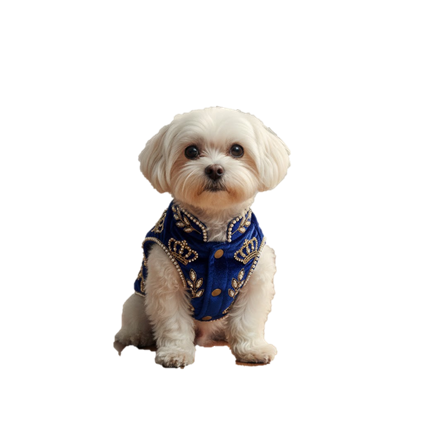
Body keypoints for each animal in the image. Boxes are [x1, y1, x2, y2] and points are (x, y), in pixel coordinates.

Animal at [114, 107, 290, 367]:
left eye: (237, 150)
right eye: (191, 151)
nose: (214, 169)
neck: (215, 234)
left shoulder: (255, 281)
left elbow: (248, 319)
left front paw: (253, 349)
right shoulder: (166, 283)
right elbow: (173, 323)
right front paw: (176, 352)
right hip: (136, 301)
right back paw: (137, 336)